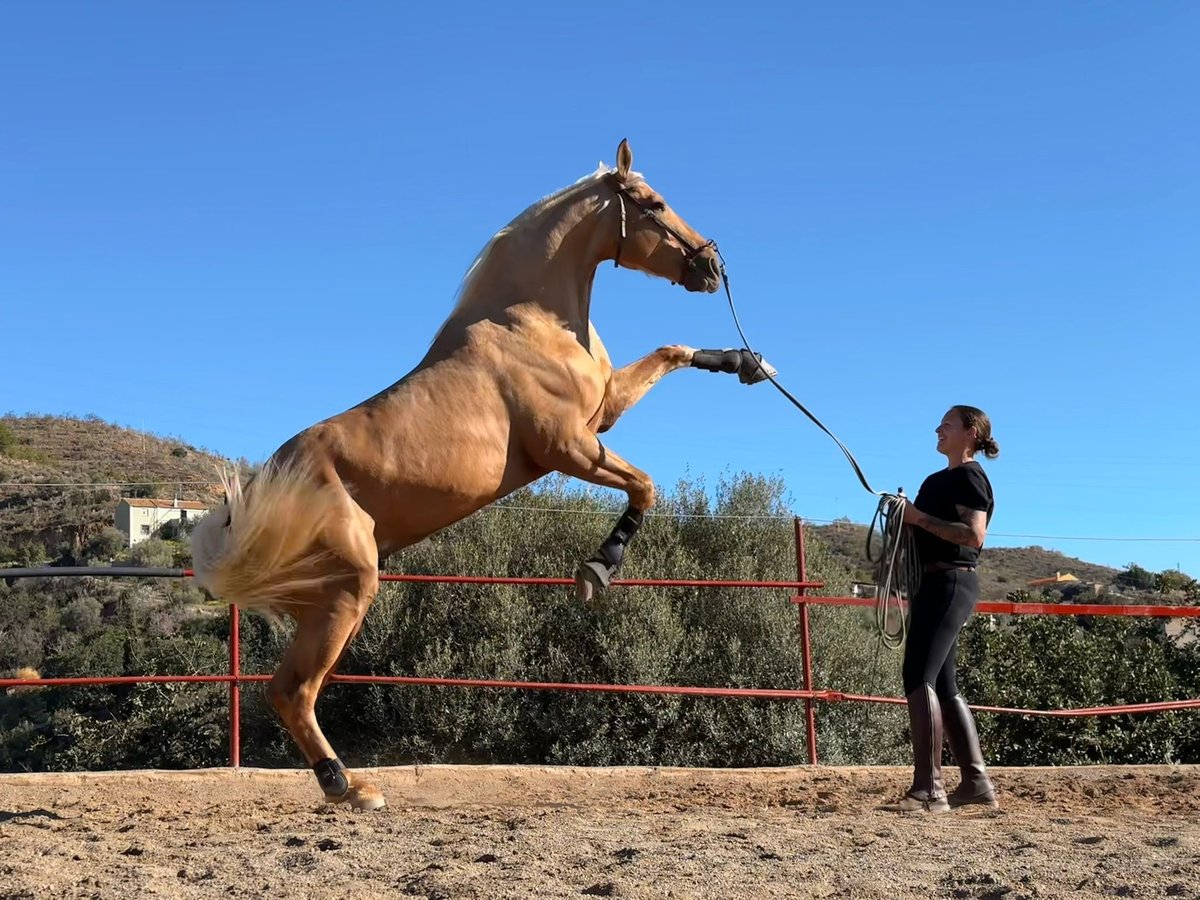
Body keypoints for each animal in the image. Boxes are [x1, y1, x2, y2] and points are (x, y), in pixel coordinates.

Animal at [190, 139, 774, 810]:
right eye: (652, 203)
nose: (712, 266)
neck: (531, 321)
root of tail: (265, 489)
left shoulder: (603, 413)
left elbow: (671, 353)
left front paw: (746, 362)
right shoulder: (570, 448)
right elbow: (644, 486)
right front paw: (598, 570)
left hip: (326, 597)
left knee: (291, 688)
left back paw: (348, 782)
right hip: (348, 589)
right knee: (292, 690)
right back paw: (348, 787)